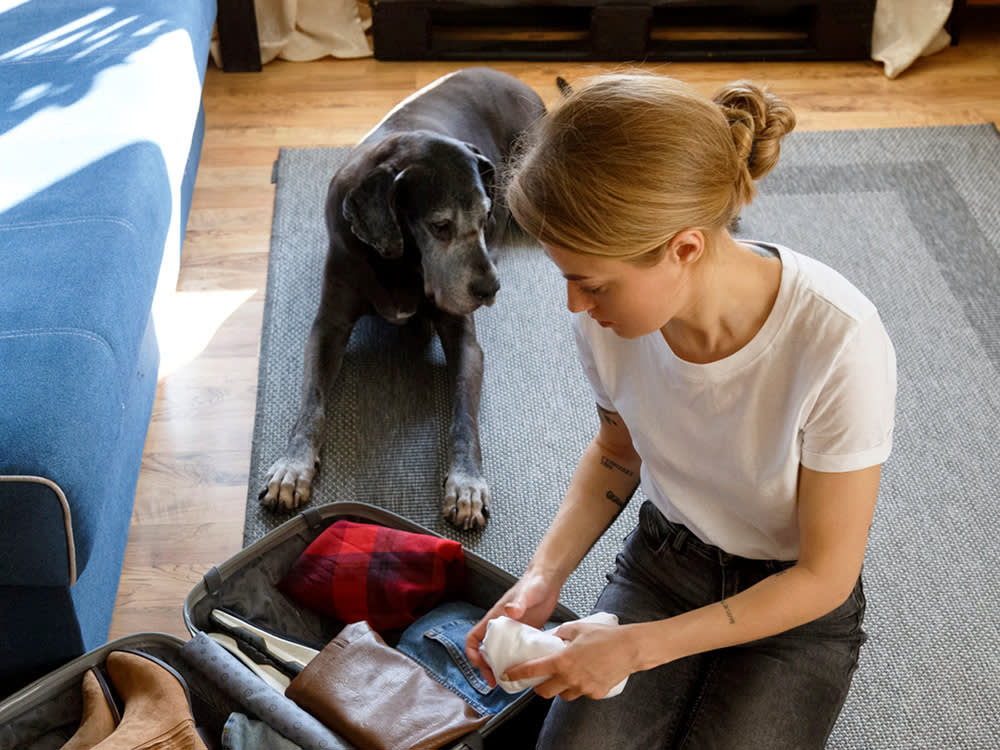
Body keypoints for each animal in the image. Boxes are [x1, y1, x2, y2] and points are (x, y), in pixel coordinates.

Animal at [258, 69, 548, 528]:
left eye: (484, 216)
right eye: (440, 226)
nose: (490, 289)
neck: (401, 260)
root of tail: (517, 81)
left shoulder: (464, 339)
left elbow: (463, 416)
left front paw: (466, 483)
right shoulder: (328, 326)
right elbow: (311, 403)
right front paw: (293, 466)